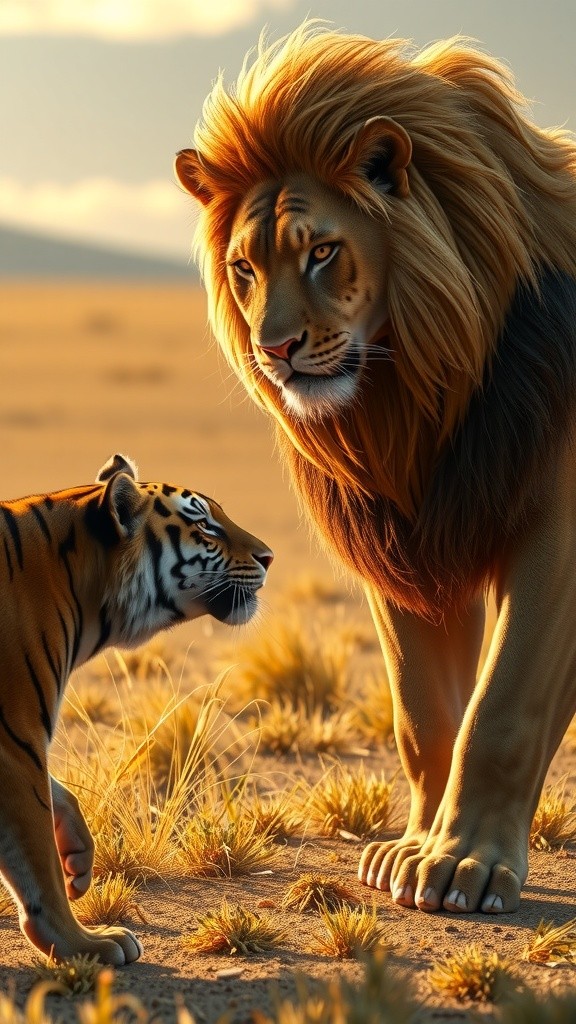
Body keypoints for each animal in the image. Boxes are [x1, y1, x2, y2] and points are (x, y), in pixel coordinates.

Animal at [0, 453, 272, 964]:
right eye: (206, 526)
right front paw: (83, 942)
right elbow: (39, 861)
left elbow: (59, 795)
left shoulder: (22, 744)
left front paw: (80, 860)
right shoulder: (16, 739)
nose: (269, 557)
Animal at [175, 21, 576, 914]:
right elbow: (424, 714)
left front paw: (467, 862)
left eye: (323, 252)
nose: (276, 350)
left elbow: (501, 707)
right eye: (245, 269)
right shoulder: (406, 532)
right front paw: (416, 847)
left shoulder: (560, 524)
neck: (411, 402)